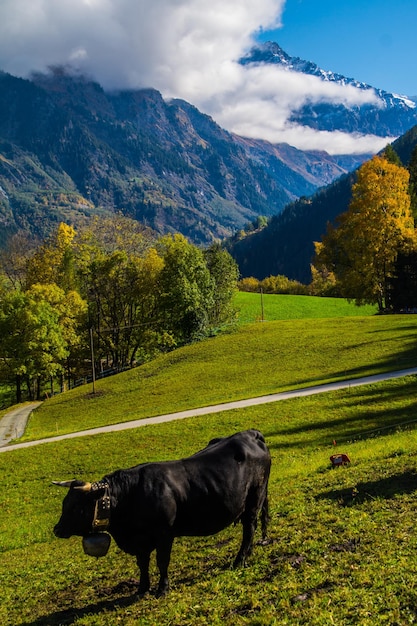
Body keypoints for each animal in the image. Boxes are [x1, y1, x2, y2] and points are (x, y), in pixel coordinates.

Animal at [52, 428, 270, 596]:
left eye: (77, 507)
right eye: (65, 503)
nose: (57, 530)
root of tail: (250, 434)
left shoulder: (164, 534)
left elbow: (161, 561)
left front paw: (162, 589)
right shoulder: (140, 541)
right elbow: (142, 563)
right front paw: (142, 588)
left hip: (255, 498)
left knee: (249, 528)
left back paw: (239, 560)